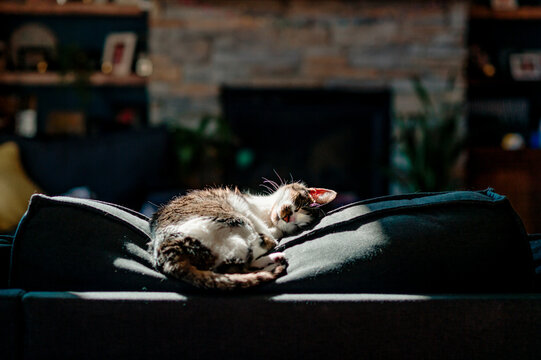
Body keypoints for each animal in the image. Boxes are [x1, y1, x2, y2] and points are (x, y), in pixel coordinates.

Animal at [147, 181, 334, 292]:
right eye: (299, 204)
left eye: (299, 225)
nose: (288, 218)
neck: (266, 216)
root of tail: (167, 250)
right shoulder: (243, 205)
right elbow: (266, 229)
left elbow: (273, 234)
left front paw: (276, 232)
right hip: (233, 217)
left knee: (240, 263)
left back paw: (274, 258)